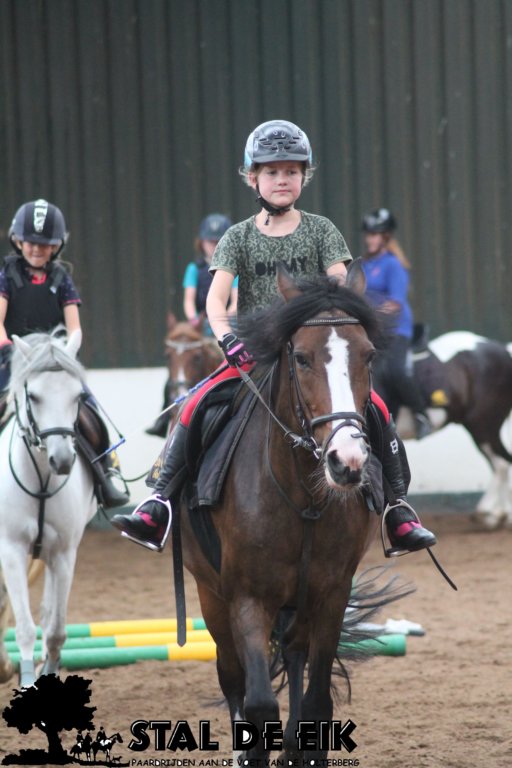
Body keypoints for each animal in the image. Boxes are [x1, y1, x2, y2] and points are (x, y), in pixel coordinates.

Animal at [0, 330, 97, 687]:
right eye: (34, 396)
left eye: (77, 395)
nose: (63, 461)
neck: (41, 477)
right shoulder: (11, 549)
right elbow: (25, 628)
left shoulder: (64, 552)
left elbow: (55, 630)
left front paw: (47, 671)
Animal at [179, 263, 385, 763]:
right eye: (303, 359)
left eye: (368, 356)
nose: (347, 462)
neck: (303, 500)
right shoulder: (247, 598)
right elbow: (257, 703)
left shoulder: (331, 594)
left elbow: (317, 701)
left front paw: (300, 750)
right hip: (212, 595)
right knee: (232, 675)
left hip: (299, 602)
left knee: (293, 656)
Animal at [375, 329, 512, 530]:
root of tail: (503, 349)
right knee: (500, 462)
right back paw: (499, 515)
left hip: (484, 425)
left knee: (501, 463)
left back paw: (489, 512)